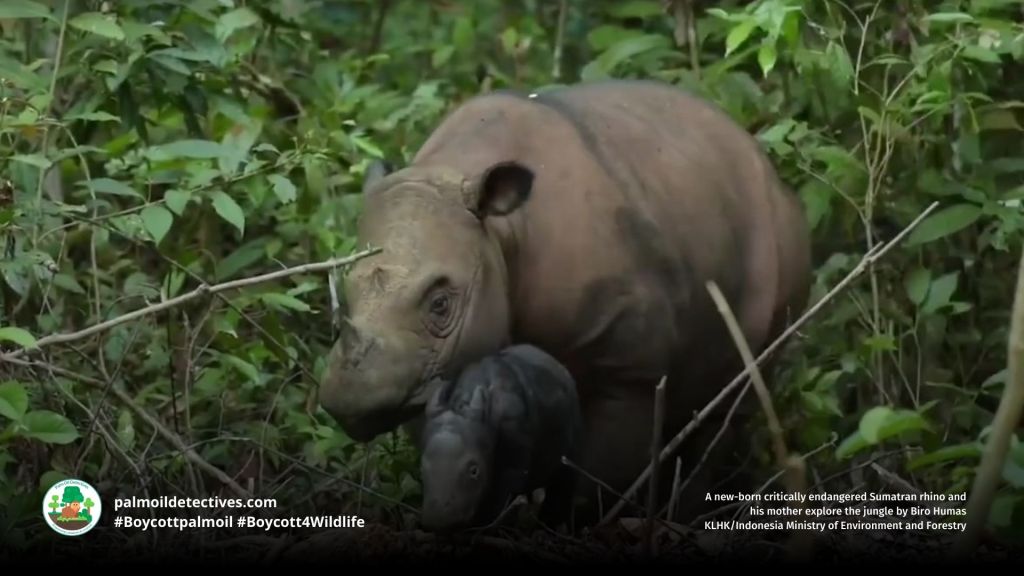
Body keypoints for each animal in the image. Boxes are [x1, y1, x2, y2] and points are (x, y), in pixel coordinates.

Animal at [319, 79, 812, 520]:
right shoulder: (427, 372)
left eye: (441, 304)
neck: (498, 232)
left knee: (733, 404)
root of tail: (765, 163)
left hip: (781, 234)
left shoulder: (630, 368)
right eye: (344, 300)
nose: (351, 399)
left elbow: (593, 476)